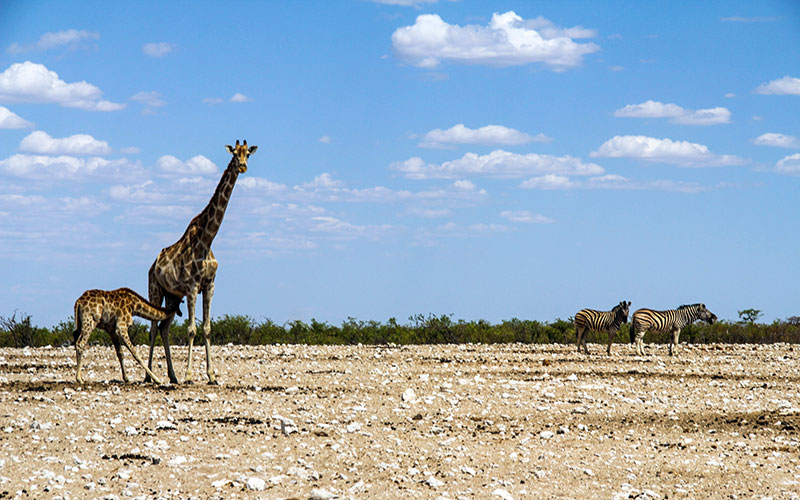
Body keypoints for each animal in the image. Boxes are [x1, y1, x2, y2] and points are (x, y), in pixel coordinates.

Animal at [145, 139, 256, 384]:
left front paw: (211, 375)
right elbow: (191, 330)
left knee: (164, 328)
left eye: (248, 154)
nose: (243, 166)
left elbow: (206, 328)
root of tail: (152, 266)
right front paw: (188, 375)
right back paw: (149, 376)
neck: (207, 240)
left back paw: (172, 376)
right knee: (154, 328)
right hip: (155, 290)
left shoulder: (209, 285)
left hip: (173, 296)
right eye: (235, 154)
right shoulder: (192, 287)